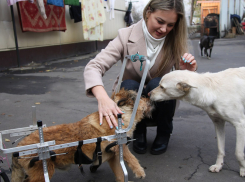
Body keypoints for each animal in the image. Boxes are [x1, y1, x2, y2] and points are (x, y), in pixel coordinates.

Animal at [11, 89, 153, 181]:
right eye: (142, 96)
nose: (150, 98)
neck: (119, 115)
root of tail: (18, 149)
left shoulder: (112, 157)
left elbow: (120, 174)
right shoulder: (120, 147)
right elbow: (132, 158)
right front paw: (139, 171)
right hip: (42, 173)